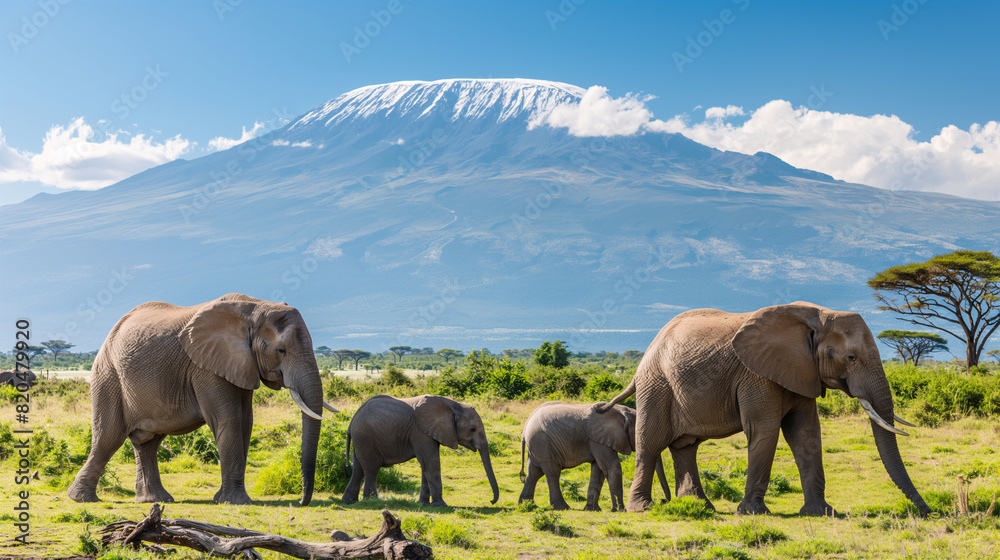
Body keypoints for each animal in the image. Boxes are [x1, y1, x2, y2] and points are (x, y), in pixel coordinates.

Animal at [67, 293, 337, 506]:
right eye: (281, 351)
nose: (301, 502)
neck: (255, 309)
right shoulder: (205, 367)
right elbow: (229, 419)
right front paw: (235, 502)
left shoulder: (241, 364)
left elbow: (246, 422)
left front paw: (226, 500)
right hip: (108, 375)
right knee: (108, 437)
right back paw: (82, 499)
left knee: (147, 442)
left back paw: (155, 500)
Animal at [342, 394, 499, 507]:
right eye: (472, 429)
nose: (491, 501)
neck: (454, 405)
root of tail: (352, 419)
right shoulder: (420, 431)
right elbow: (431, 461)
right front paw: (440, 505)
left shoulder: (430, 431)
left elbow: (425, 464)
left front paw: (423, 504)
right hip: (365, 437)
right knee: (371, 469)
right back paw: (372, 501)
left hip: (360, 439)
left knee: (358, 468)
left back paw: (349, 501)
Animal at [518, 401, 670, 511]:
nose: (661, 501)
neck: (622, 412)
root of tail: (526, 426)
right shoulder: (598, 440)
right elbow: (612, 467)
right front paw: (620, 510)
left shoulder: (599, 440)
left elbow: (598, 471)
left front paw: (593, 509)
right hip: (543, 442)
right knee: (552, 472)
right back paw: (563, 507)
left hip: (538, 445)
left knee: (534, 472)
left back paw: (527, 506)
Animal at [599, 302, 930, 516]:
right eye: (851, 358)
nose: (928, 512)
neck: (816, 317)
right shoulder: (756, 375)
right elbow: (765, 430)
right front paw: (753, 513)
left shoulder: (801, 371)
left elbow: (806, 435)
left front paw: (821, 513)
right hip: (656, 385)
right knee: (651, 443)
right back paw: (642, 509)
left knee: (686, 446)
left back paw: (699, 507)